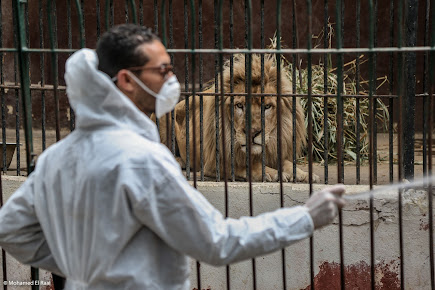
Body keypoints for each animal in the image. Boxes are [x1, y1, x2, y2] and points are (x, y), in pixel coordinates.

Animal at [157, 53, 320, 182]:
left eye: (267, 107)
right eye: (239, 105)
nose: (252, 133)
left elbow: (287, 163)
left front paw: (303, 174)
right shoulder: (213, 163)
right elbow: (247, 165)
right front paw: (272, 173)